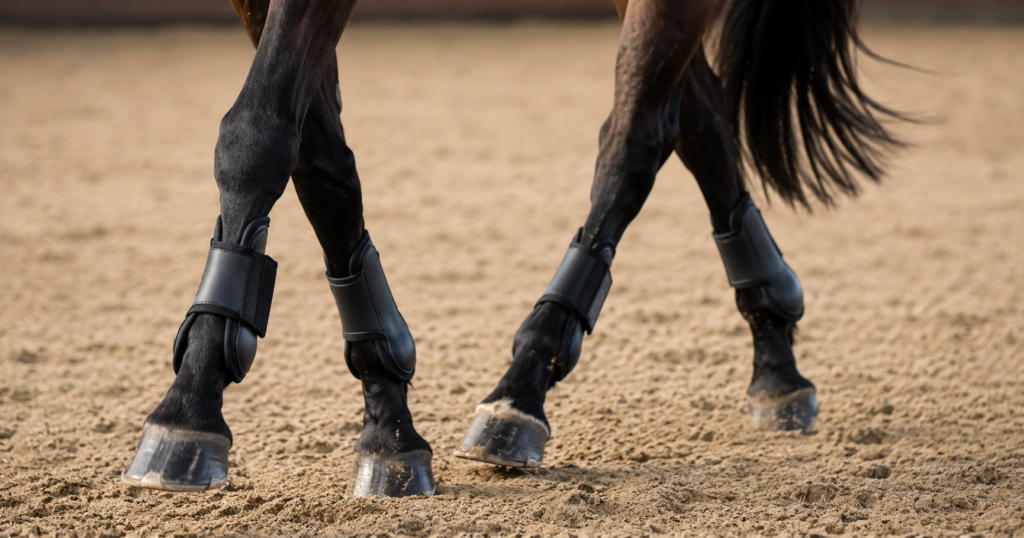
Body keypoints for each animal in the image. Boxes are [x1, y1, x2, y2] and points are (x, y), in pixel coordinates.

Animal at [121, 0, 902, 498]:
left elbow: (256, 131)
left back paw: (526, 386)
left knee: (641, 130)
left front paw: (190, 407)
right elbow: (314, 151)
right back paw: (775, 350)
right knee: (699, 114)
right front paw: (386, 410)